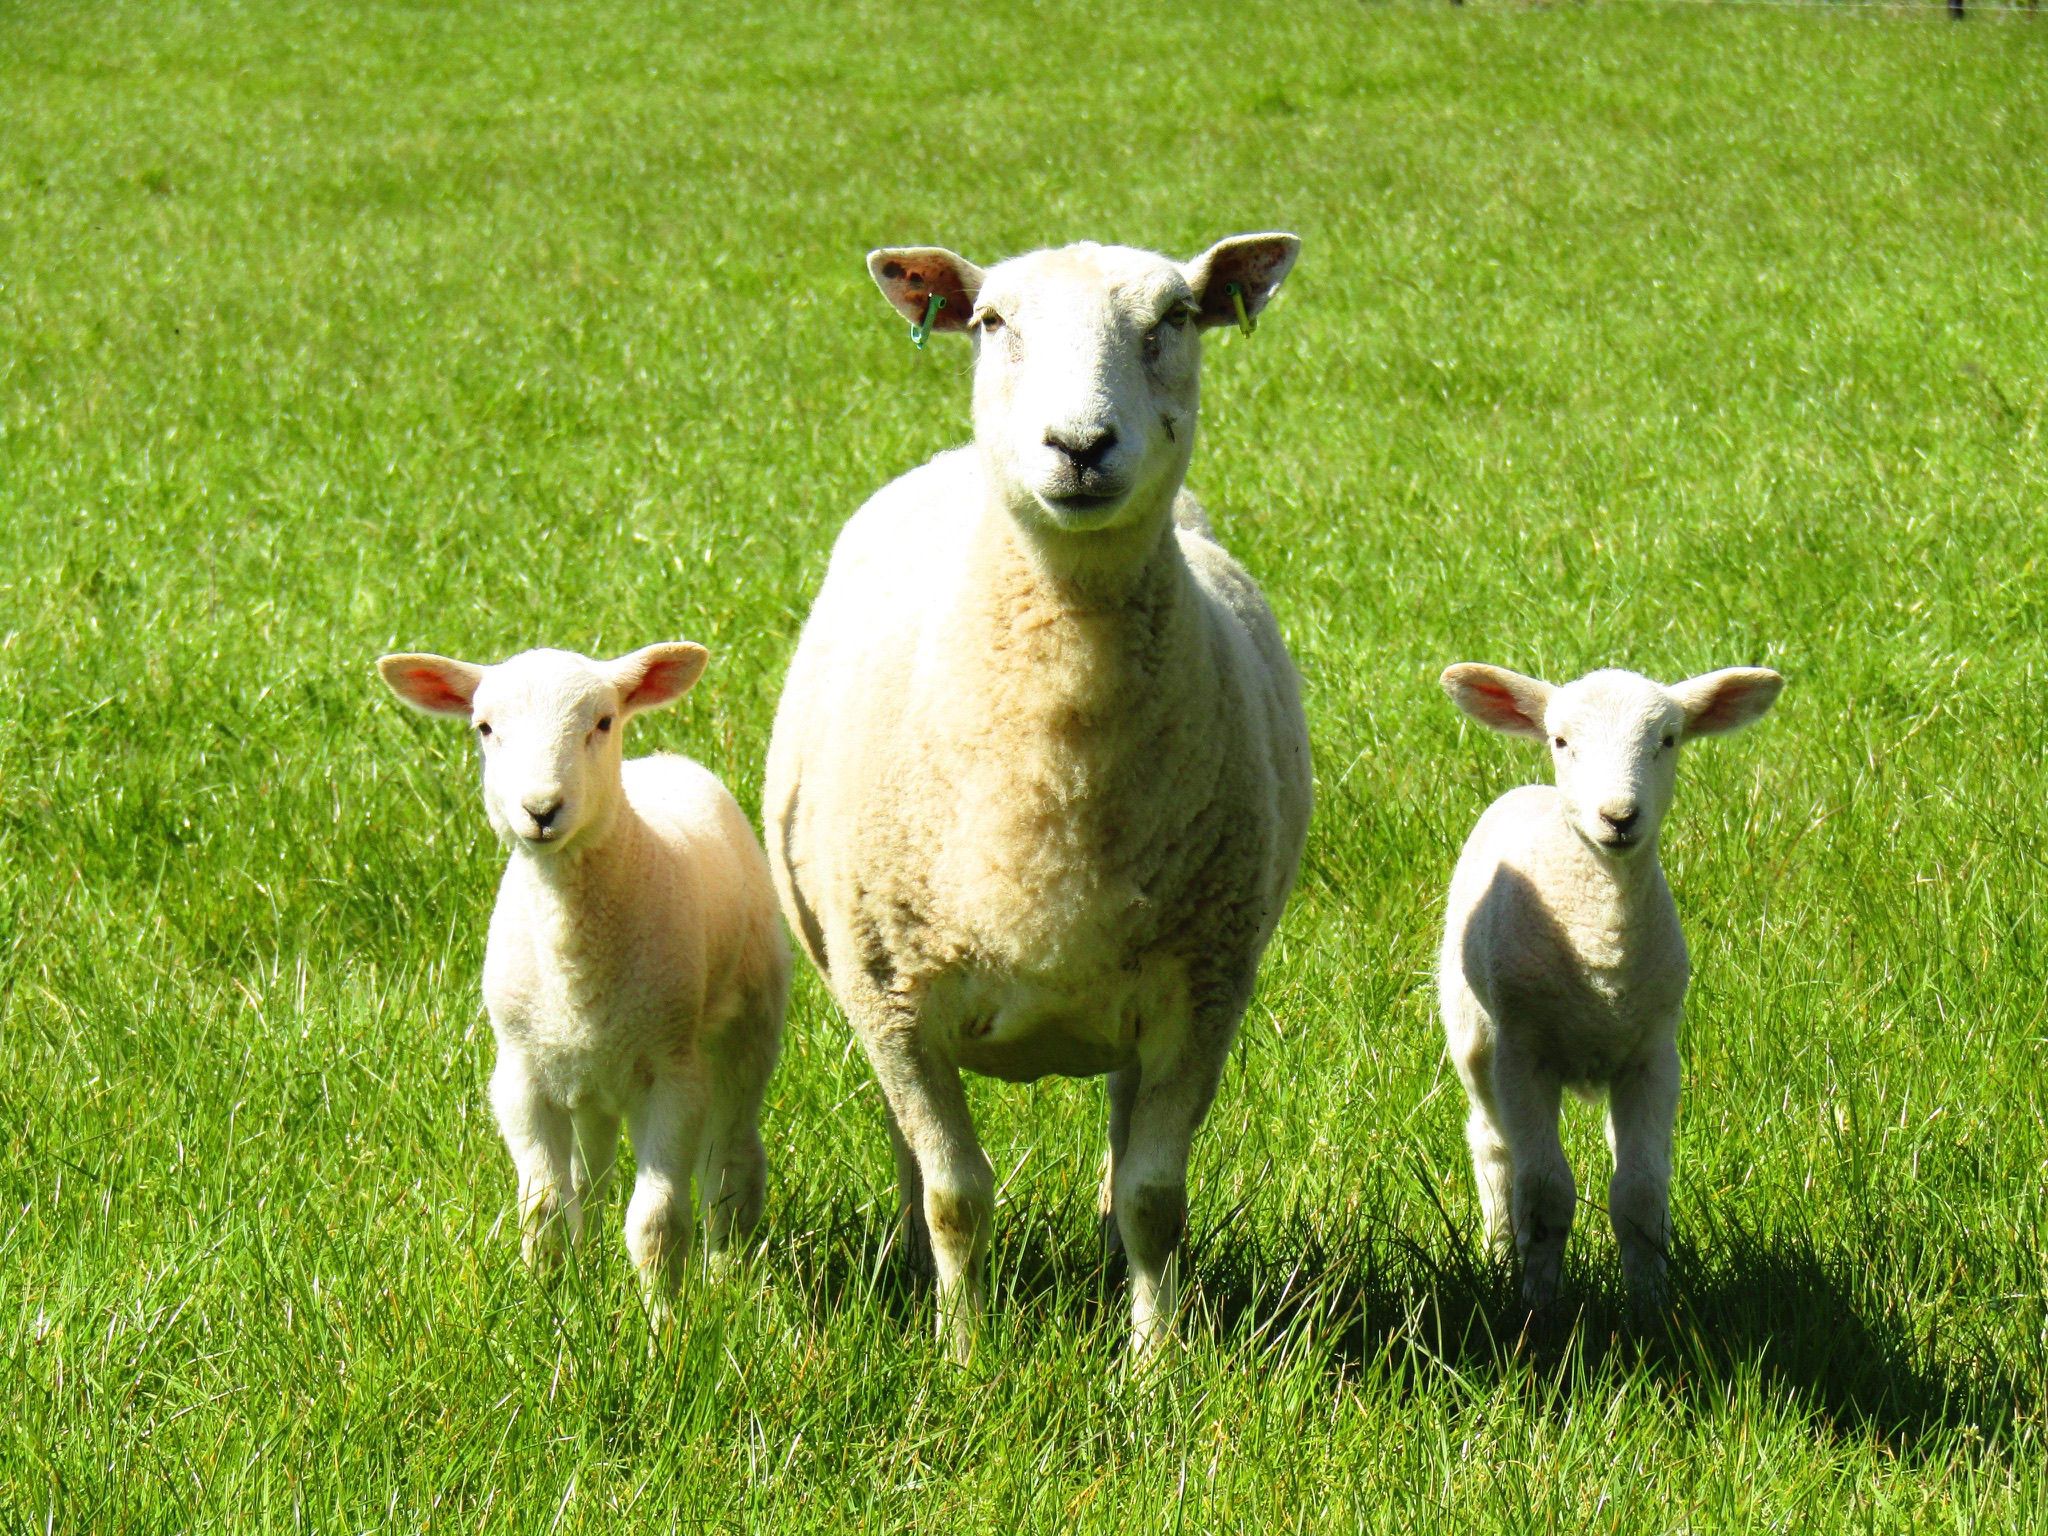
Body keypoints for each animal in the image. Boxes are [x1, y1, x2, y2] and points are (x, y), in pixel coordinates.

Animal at [376, 638, 782, 1327]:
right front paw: (548, 1309)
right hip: (589, 1077)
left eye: (603, 722)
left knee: (730, 1166)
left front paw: (665, 1328)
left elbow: (656, 1222)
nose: (541, 810)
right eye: (485, 728)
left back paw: (728, 1278)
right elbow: (542, 1209)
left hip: (744, 1031)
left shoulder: (674, 1076)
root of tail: (667, 762)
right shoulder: (519, 1076)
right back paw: (591, 1263)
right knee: (590, 1179)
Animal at [765, 234, 1310, 1368]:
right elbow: (957, 1199)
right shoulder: (893, 999)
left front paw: (1152, 1368)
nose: (1079, 445)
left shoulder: (1205, 992)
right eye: (991, 322)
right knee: (912, 1158)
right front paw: (964, 1361)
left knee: (1119, 1146)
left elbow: (1154, 1196)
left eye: (1175, 318)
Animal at [1433, 663, 1785, 1310]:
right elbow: (1544, 1193)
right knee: (1494, 1148)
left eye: (1668, 739)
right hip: (1474, 1036)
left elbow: (1641, 1195)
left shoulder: (1652, 1057)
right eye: (1561, 741)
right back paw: (1499, 1255)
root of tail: (1533, 793)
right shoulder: (1525, 1055)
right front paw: (1538, 1307)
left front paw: (1649, 1308)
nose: (1619, 817)